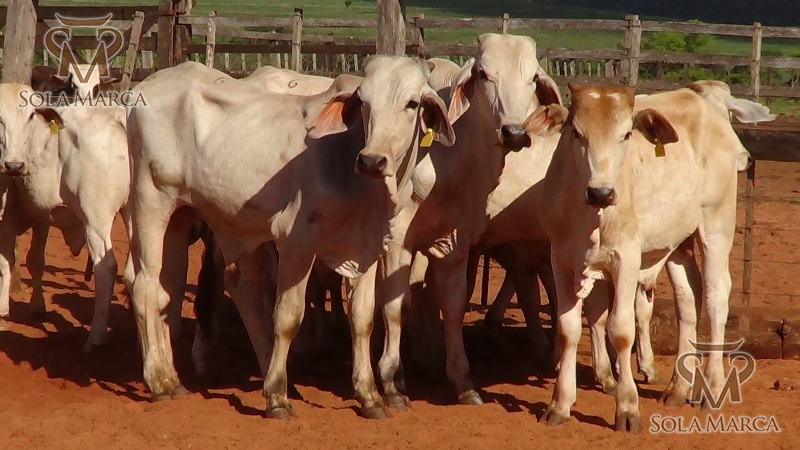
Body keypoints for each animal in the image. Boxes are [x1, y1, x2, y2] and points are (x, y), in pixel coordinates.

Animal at [0, 83, 133, 351]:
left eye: (30, 116)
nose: (14, 165)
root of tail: (117, 117)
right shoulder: (41, 216)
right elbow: (35, 260)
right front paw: (37, 306)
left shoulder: (6, 213)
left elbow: (6, 260)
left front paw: (2, 311)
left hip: (96, 219)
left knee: (107, 268)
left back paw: (96, 338)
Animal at [125, 58, 454, 419]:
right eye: (365, 102)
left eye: (412, 103)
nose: (371, 160)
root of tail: (147, 85)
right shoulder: (296, 244)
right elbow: (287, 318)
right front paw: (277, 397)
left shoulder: (366, 247)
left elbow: (363, 318)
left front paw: (369, 396)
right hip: (150, 202)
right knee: (143, 287)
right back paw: (158, 382)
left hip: (182, 216)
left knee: (169, 292)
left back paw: (172, 379)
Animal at [519, 82, 773, 432]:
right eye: (576, 133)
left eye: (627, 134)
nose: (601, 192)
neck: (591, 215)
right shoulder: (561, 259)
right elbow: (568, 329)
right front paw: (560, 403)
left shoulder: (626, 260)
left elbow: (621, 330)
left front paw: (627, 407)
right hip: (678, 244)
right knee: (688, 300)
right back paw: (678, 388)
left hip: (716, 228)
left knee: (715, 299)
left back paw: (712, 386)